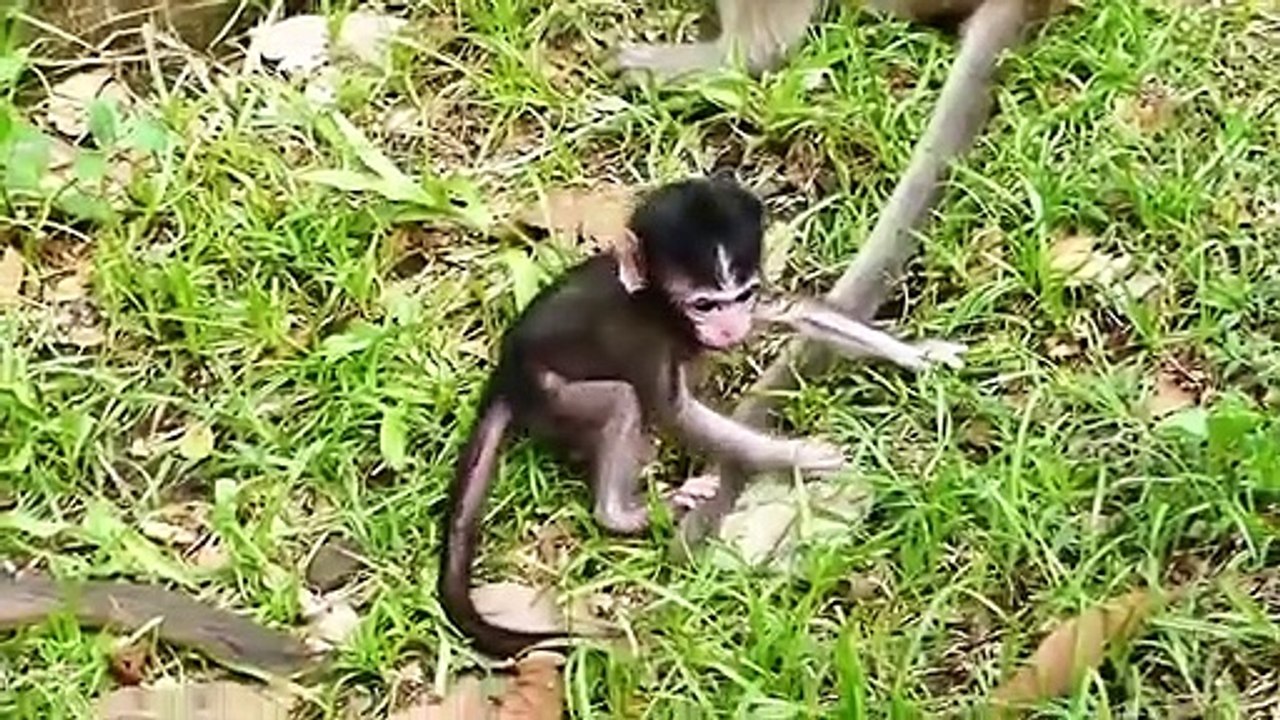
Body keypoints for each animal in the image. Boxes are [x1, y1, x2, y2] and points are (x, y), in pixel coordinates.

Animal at [438, 174, 966, 659]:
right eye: (704, 303)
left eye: (742, 296)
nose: (731, 328)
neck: (655, 304)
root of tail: (506, 373)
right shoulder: (645, 341)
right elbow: (675, 413)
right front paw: (802, 457)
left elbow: (799, 312)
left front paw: (919, 355)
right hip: (549, 391)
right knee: (622, 401)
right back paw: (623, 514)